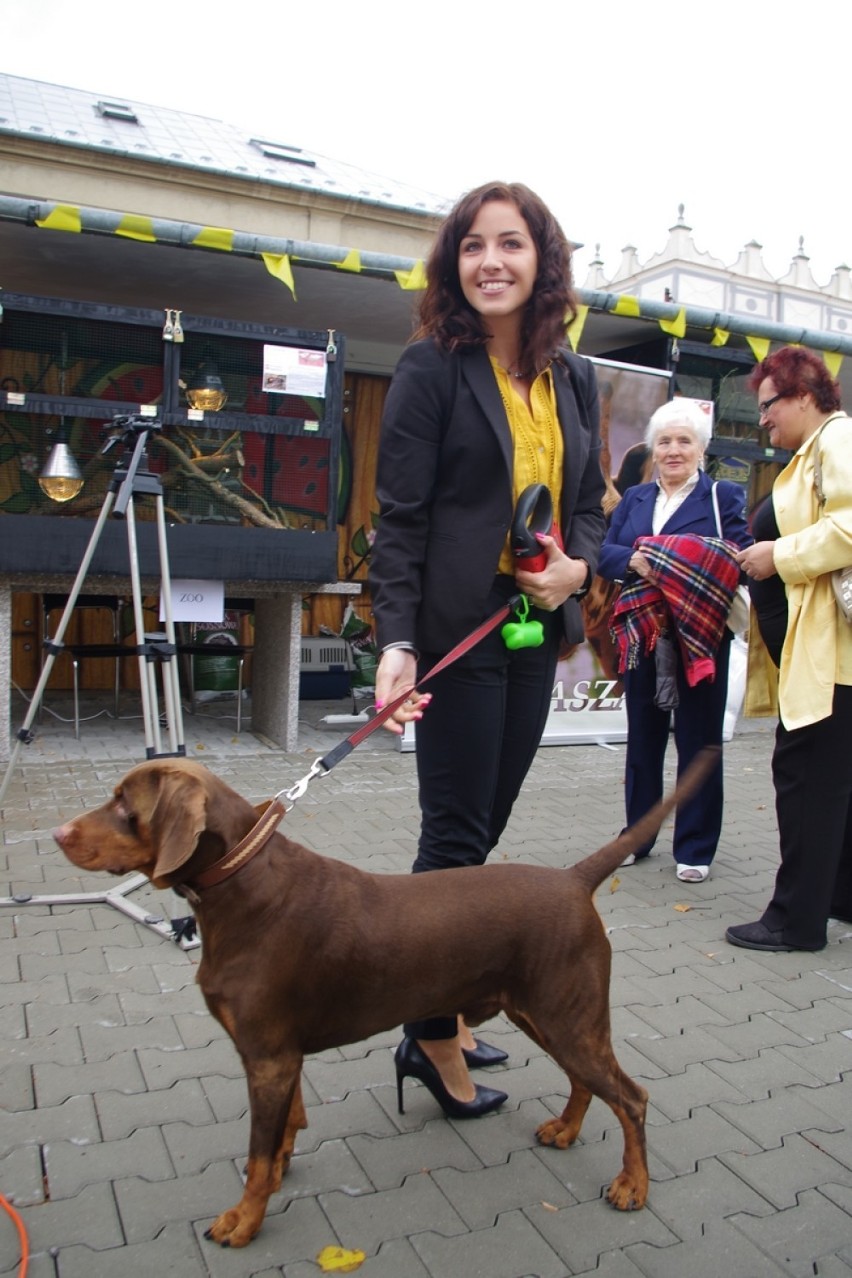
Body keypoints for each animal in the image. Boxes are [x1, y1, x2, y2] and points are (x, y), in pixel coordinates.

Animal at [50, 751, 710, 1242]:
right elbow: (285, 1129)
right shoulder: (280, 1056)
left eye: (123, 803)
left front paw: (243, 1219)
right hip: (547, 1015)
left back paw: (633, 1185)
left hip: (568, 1014)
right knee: (586, 1081)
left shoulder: (266, 1055)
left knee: (631, 1097)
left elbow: (257, 1155)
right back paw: (566, 1131)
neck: (240, 885)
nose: (57, 834)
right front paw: (281, 1171)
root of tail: (574, 880)